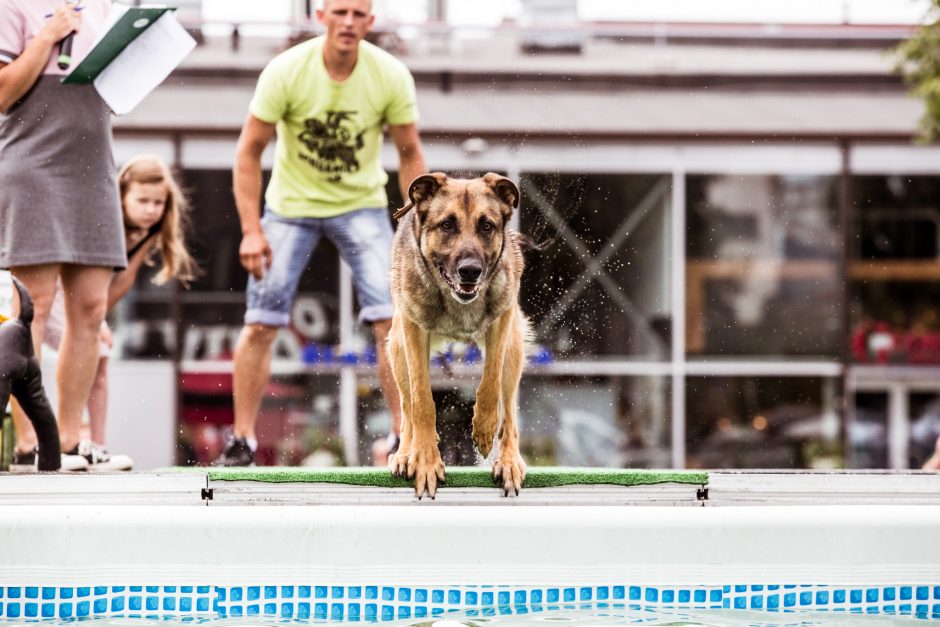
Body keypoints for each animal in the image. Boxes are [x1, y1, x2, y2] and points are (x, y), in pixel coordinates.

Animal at [384, 173, 528, 500]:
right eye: (447, 224)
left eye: (486, 226)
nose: (470, 271)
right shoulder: (413, 332)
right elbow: (422, 402)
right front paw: (424, 460)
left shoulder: (501, 323)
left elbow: (489, 385)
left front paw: (484, 429)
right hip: (397, 349)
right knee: (407, 408)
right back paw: (405, 454)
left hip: (514, 349)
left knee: (510, 414)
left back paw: (508, 460)